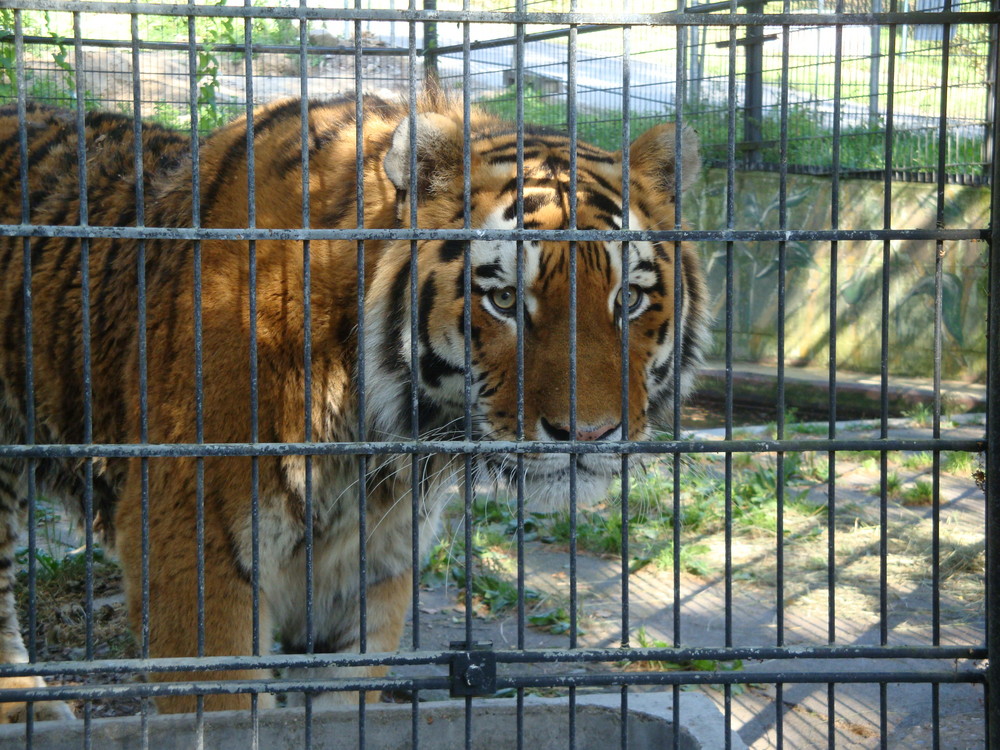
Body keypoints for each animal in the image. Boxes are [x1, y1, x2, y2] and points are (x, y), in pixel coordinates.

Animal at [0, 91, 708, 720]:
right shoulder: (195, 566)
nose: (588, 434)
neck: (374, 435)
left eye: (630, 299)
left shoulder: (370, 574)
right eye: (504, 300)